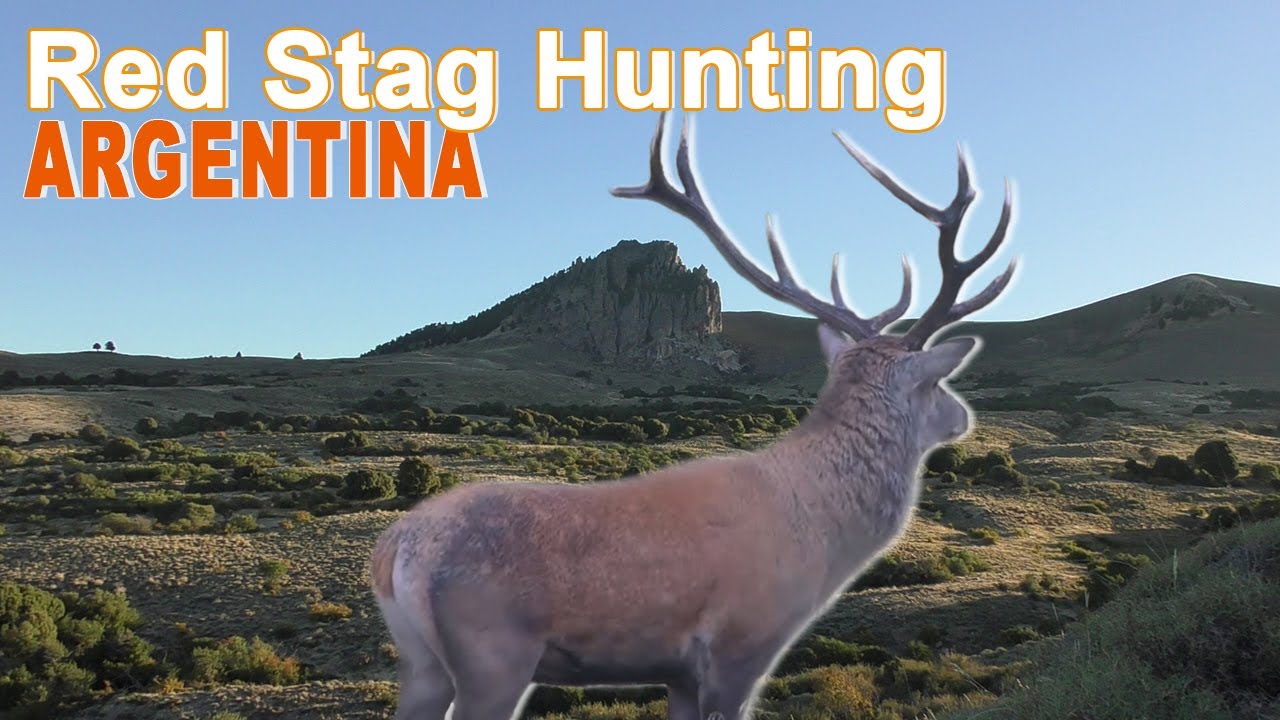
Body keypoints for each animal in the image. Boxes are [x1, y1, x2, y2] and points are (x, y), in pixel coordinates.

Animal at [370, 111, 1017, 720]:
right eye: (937, 381)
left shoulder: (677, 671)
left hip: (421, 664)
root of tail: (394, 550)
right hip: (494, 652)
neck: (826, 539)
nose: (962, 417)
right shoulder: (742, 642)